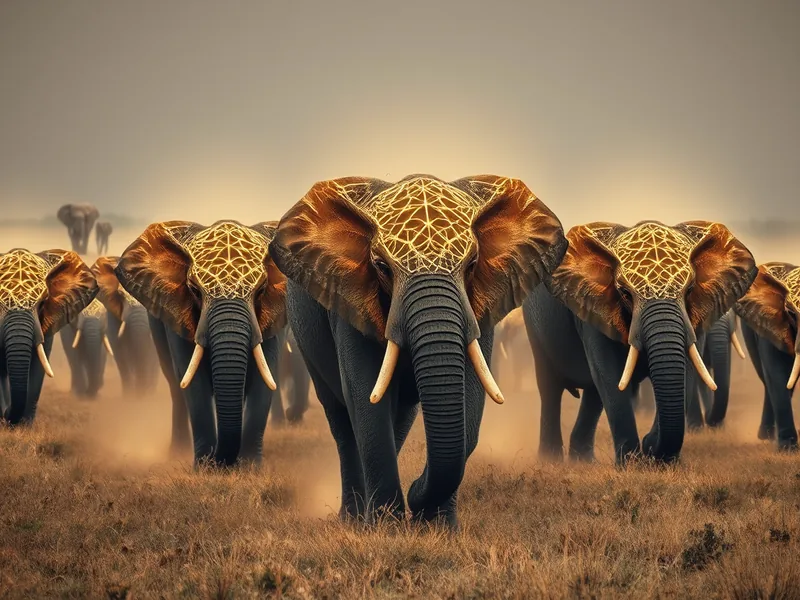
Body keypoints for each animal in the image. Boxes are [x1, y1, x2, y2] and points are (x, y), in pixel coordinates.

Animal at [115, 220, 287, 466]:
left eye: (262, 290)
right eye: (195, 290)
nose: (221, 463)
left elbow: (265, 379)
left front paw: (249, 468)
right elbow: (194, 384)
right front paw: (205, 468)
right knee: (175, 386)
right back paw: (178, 452)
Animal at [269, 174, 567, 528]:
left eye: (473, 264)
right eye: (381, 267)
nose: (415, 493)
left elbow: (469, 403)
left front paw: (438, 528)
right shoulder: (351, 302)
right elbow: (366, 397)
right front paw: (387, 528)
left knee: (399, 418)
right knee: (342, 421)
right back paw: (354, 518)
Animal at [523, 220, 756, 464]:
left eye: (690, 289)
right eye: (625, 293)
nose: (649, 445)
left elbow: (688, 370)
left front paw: (660, 460)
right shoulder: (593, 311)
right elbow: (609, 373)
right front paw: (632, 464)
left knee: (593, 395)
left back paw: (583, 462)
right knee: (550, 387)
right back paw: (552, 460)